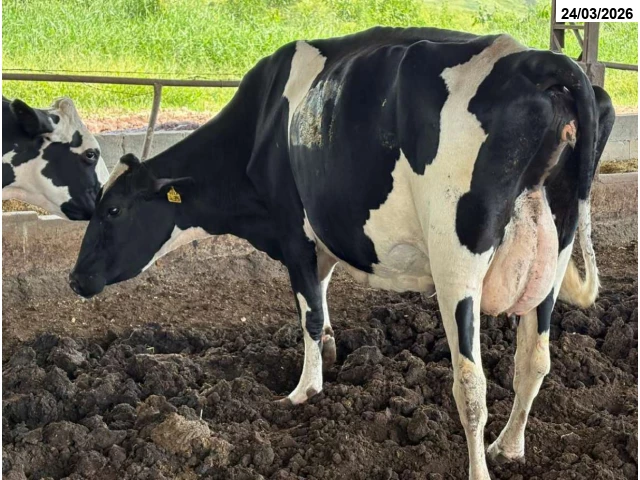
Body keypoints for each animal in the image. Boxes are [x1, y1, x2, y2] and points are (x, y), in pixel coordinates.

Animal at [69, 27, 615, 479]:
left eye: (112, 210)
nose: (75, 279)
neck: (260, 128)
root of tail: (539, 60)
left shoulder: (292, 231)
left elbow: (308, 311)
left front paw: (304, 390)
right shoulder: (322, 238)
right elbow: (322, 295)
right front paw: (331, 350)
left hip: (456, 259)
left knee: (471, 383)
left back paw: (481, 465)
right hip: (554, 253)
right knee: (534, 361)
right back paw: (510, 447)